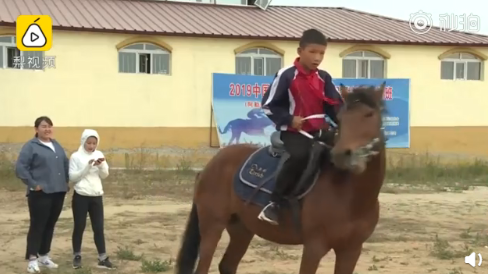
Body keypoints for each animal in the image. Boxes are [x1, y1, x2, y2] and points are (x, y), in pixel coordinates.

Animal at [174, 83, 386, 274]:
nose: (342, 154)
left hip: (241, 229)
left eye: (369, 114)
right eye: (341, 119)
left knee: (227, 265)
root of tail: (210, 166)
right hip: (212, 226)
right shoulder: (314, 247)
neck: (351, 197)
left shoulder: (351, 250)